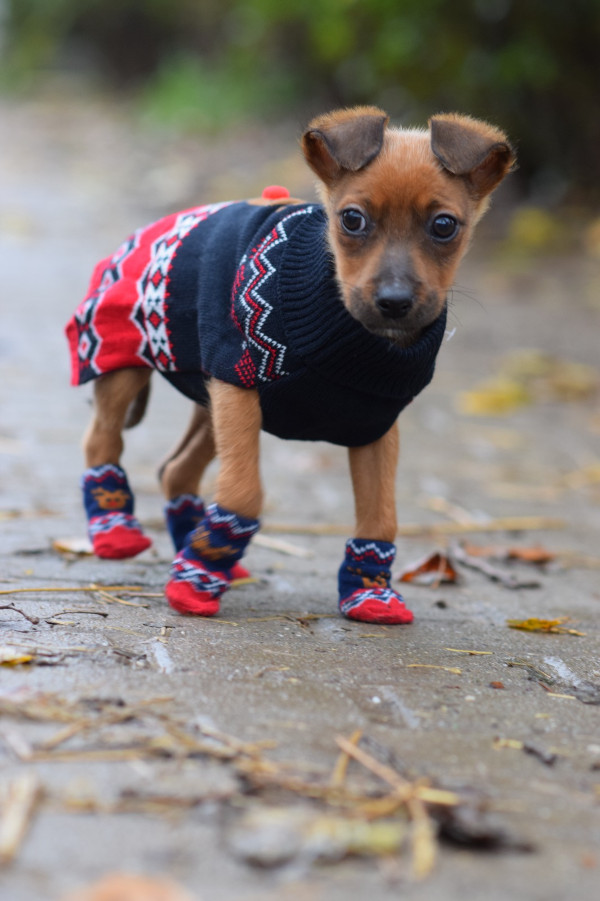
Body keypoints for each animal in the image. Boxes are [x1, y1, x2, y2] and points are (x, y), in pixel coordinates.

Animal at [66, 107, 514, 624]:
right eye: (352, 219)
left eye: (444, 225)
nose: (394, 302)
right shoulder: (238, 386)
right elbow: (243, 492)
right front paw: (195, 584)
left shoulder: (375, 424)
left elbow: (381, 515)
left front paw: (370, 594)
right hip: (125, 361)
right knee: (102, 438)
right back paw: (117, 531)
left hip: (210, 405)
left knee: (176, 470)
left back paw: (203, 552)